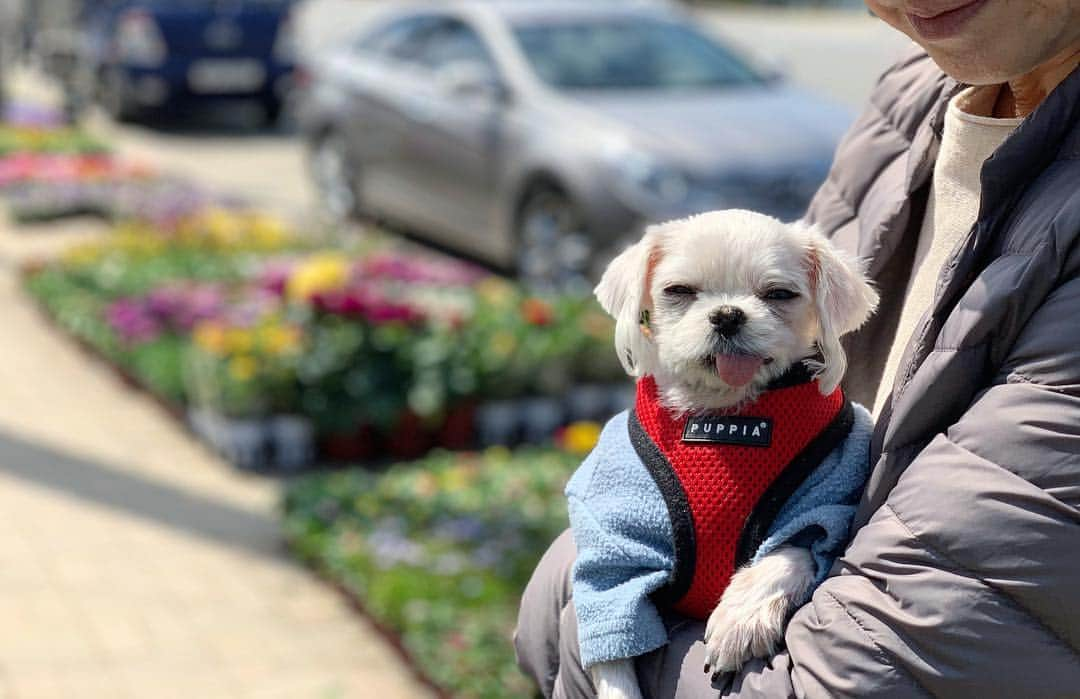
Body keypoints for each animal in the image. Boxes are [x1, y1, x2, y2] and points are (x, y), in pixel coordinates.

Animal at [574, 210, 876, 695]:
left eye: (779, 294)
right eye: (678, 290)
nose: (728, 315)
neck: (723, 412)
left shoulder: (825, 500)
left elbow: (788, 552)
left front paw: (742, 617)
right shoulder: (612, 548)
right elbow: (613, 644)